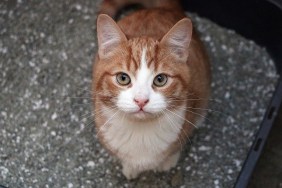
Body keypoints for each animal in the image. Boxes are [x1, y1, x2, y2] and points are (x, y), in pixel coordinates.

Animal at [91, 0, 210, 179]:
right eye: (123, 78)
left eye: (160, 80)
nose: (141, 100)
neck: (141, 133)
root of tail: (161, 8)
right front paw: (130, 167)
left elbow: (178, 145)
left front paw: (168, 160)